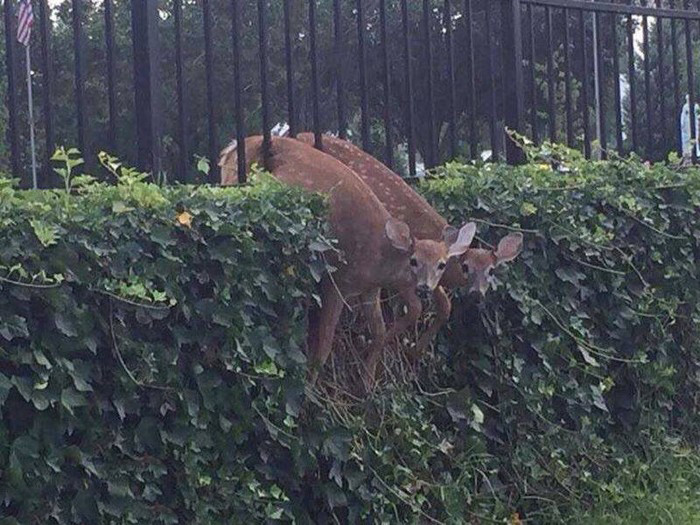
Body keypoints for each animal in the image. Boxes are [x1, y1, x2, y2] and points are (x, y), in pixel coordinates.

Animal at [219, 135, 476, 384]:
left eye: (441, 264)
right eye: (414, 261)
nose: (424, 286)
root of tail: (230, 149)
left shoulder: (370, 290)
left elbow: (381, 330)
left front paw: (367, 382)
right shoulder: (337, 283)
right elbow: (324, 346)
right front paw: (310, 388)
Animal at [292, 134, 524, 364]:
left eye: (492, 270)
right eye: (466, 266)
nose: (477, 294)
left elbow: (445, 305)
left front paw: (415, 350)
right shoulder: (403, 272)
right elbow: (416, 307)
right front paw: (393, 347)